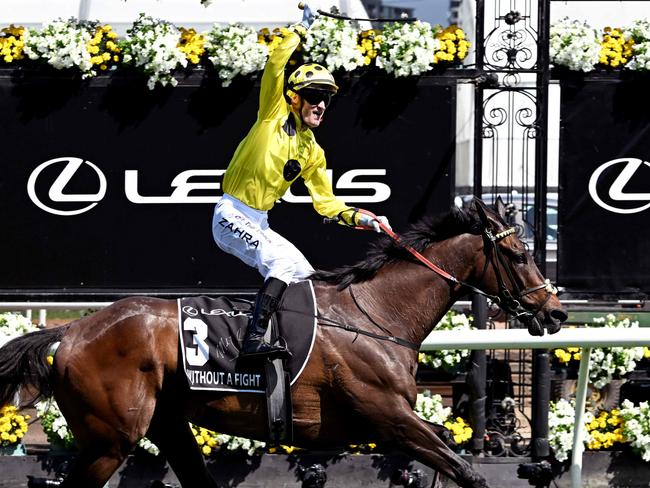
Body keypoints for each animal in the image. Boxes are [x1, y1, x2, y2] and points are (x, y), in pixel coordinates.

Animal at [0, 199, 560, 488]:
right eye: (519, 253)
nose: (555, 312)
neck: (375, 314)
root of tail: (73, 331)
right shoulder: (387, 417)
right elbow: (468, 471)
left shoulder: (390, 423)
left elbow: (447, 452)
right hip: (109, 441)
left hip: (165, 424)